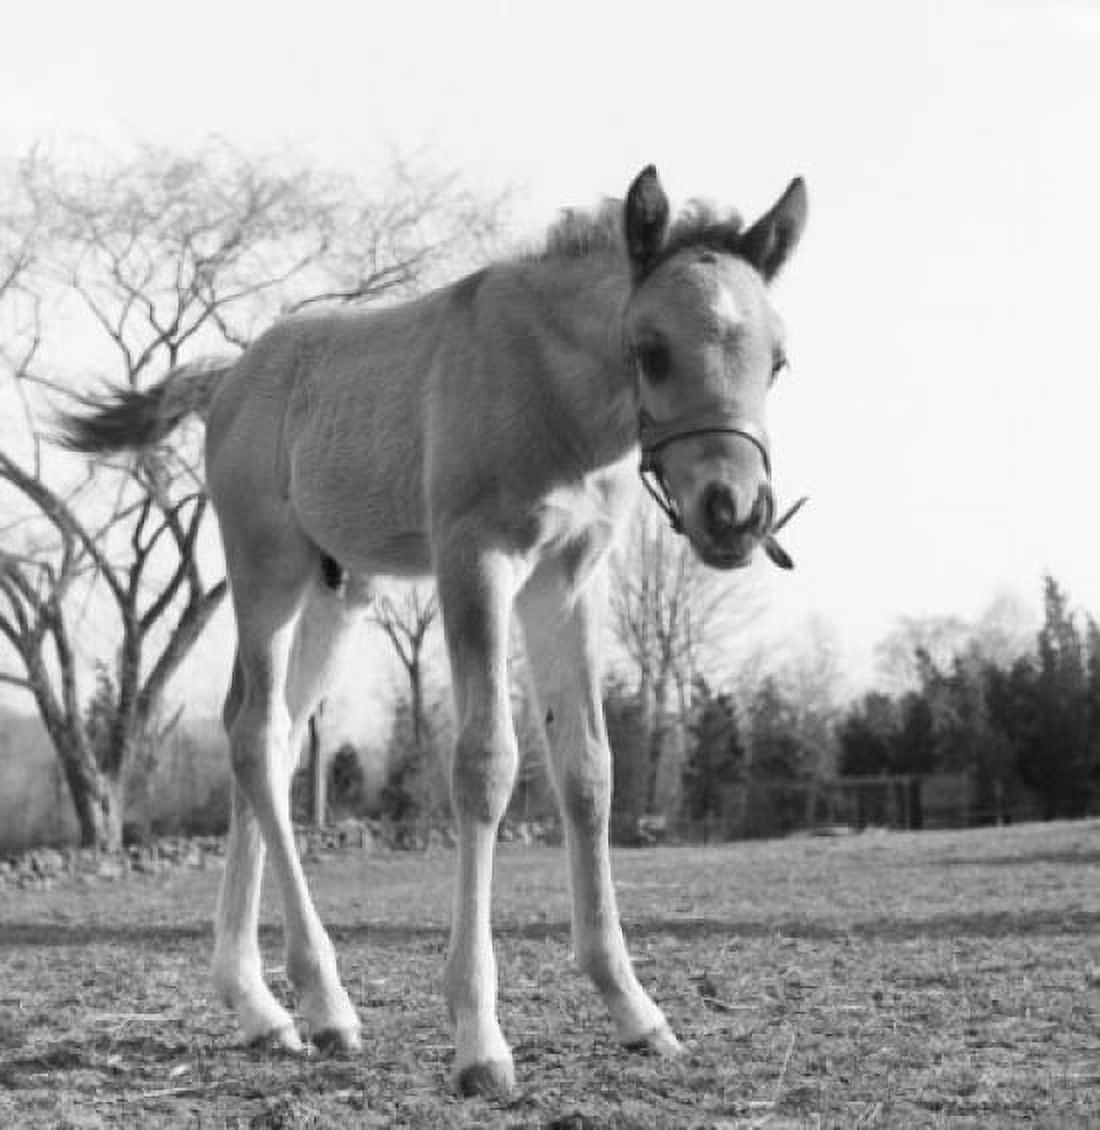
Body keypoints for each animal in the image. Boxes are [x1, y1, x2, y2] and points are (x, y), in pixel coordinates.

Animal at [59, 165, 808, 1096]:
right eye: (651, 350)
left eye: (776, 361)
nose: (733, 515)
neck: (555, 393)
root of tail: (230, 377)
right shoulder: (474, 561)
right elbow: (487, 766)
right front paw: (479, 1040)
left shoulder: (568, 579)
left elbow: (589, 771)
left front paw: (635, 1011)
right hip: (267, 571)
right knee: (254, 733)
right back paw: (323, 1004)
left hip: (339, 590)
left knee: (268, 737)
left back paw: (260, 1007)